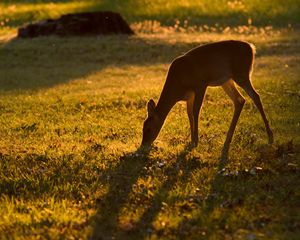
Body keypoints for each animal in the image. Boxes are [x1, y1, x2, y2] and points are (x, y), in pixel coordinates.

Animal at [142, 39, 274, 159]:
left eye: (148, 129)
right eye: (142, 128)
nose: (143, 145)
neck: (178, 86)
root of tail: (252, 48)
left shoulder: (201, 85)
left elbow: (196, 111)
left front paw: (196, 141)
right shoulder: (189, 96)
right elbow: (189, 113)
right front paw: (191, 140)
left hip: (241, 74)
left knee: (255, 96)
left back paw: (270, 136)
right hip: (227, 80)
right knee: (240, 100)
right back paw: (228, 139)